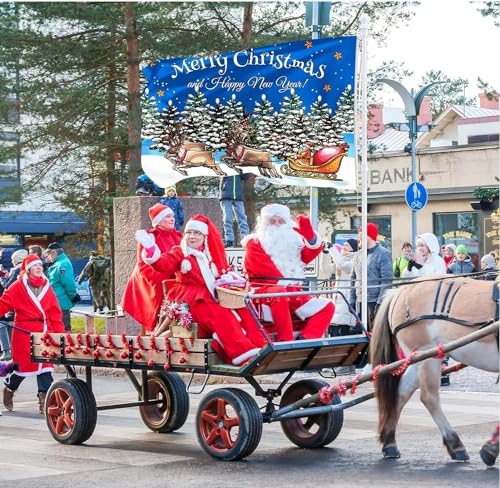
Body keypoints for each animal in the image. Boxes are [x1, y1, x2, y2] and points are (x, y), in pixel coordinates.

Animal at [370, 274, 498, 462]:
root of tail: (399, 291)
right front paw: (491, 449)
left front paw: (491, 449)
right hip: (428, 355)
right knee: (429, 398)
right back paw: (455, 444)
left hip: (417, 359)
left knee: (401, 393)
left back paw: (389, 442)